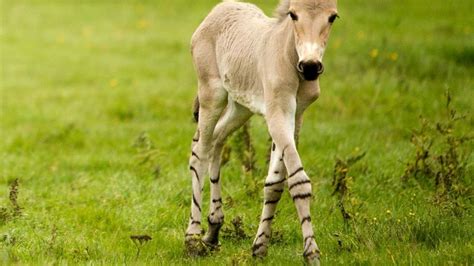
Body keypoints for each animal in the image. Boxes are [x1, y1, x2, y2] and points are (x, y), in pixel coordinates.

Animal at [184, 0, 336, 262]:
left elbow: (275, 183)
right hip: (212, 96)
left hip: (240, 106)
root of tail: (221, 7)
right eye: (293, 15)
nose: (310, 67)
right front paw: (312, 253)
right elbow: (298, 181)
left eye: (332, 17)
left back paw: (213, 229)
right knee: (200, 152)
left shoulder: (296, 116)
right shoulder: (277, 114)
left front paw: (260, 247)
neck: (287, 56)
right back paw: (193, 239)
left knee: (217, 140)